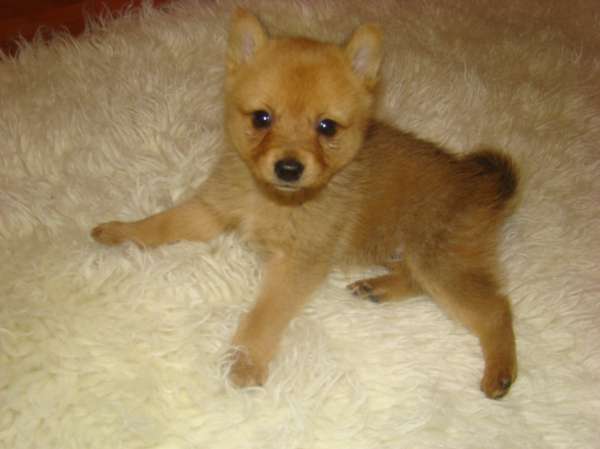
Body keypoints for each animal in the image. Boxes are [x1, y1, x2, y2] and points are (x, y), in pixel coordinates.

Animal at [92, 9, 519, 399]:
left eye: (326, 126)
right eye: (261, 118)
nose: (289, 167)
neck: (273, 200)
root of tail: (481, 182)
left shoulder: (296, 264)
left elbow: (264, 315)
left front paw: (246, 360)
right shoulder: (211, 211)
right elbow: (161, 223)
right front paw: (121, 231)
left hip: (440, 261)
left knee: (496, 308)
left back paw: (500, 369)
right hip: (410, 254)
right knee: (420, 281)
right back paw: (378, 287)